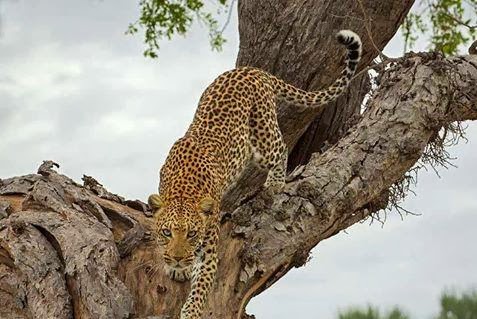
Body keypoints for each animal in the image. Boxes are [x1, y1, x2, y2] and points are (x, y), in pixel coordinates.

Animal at [148, 30, 360, 319]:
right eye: (167, 232)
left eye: (192, 234)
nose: (179, 257)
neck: (182, 189)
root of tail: (253, 70)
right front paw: (176, 268)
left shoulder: (210, 250)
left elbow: (201, 288)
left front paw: (190, 308)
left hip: (262, 138)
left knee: (282, 146)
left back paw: (275, 183)